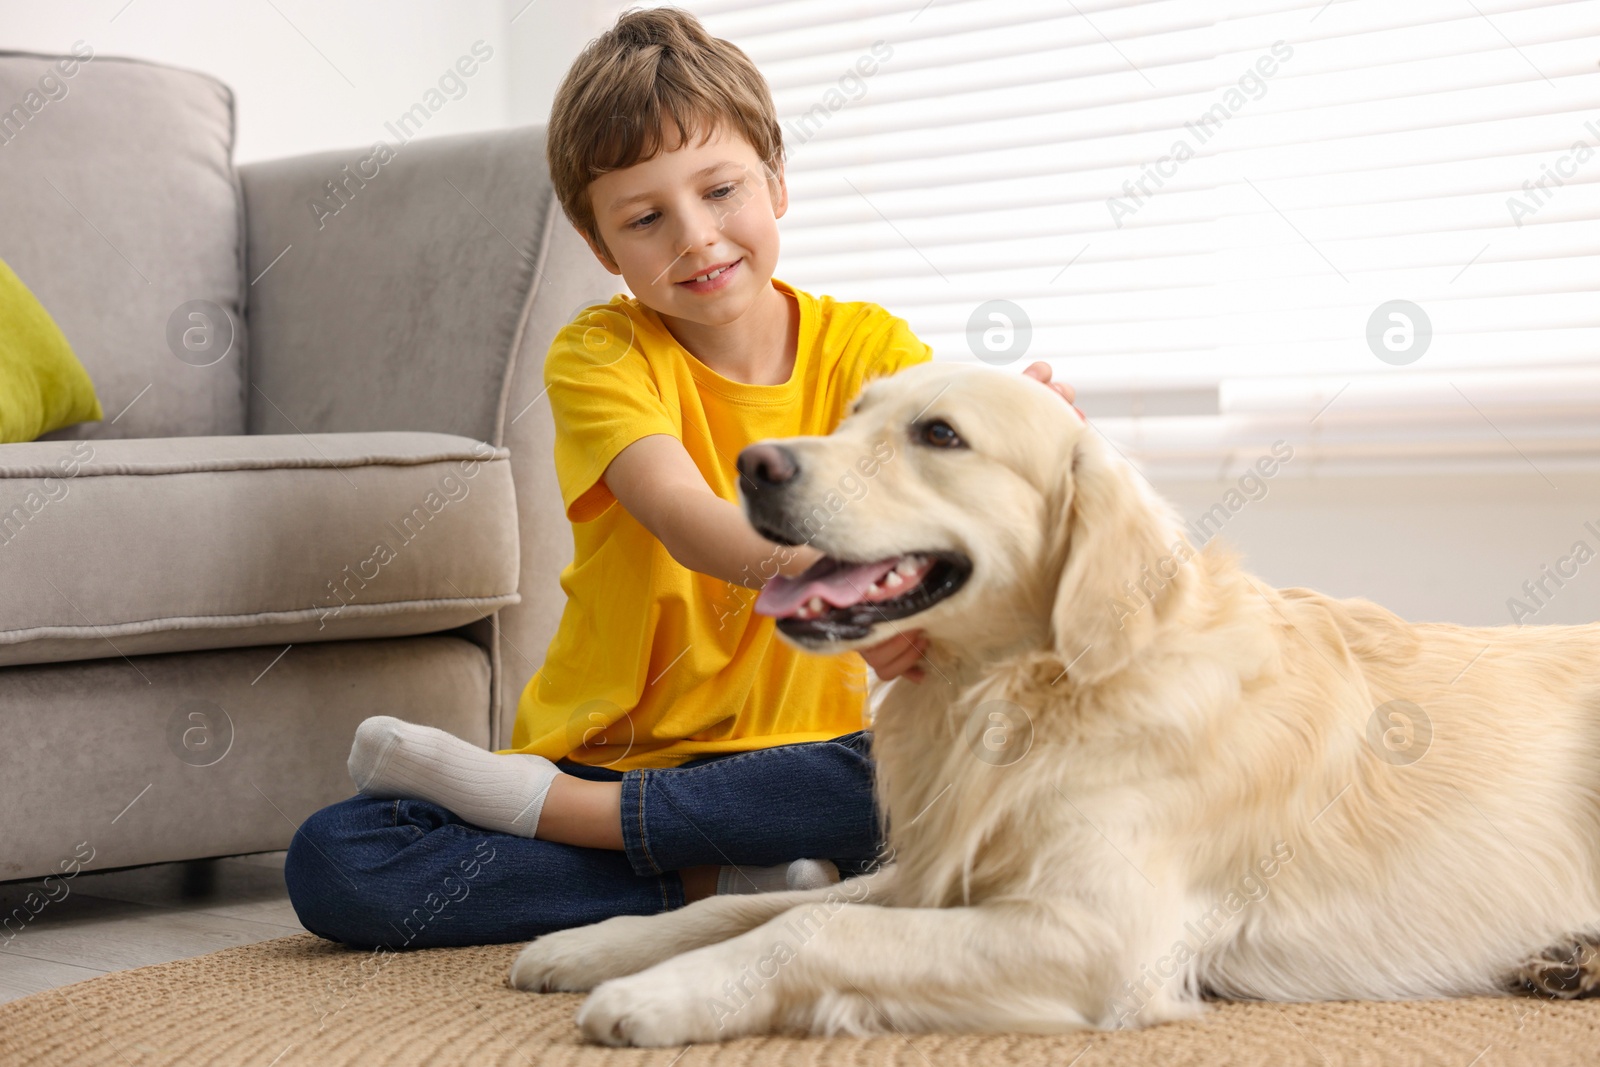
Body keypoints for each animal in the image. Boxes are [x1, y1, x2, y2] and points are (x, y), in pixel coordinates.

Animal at [505, 363, 1600, 1049]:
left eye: (939, 435)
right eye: (853, 413)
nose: (755, 464)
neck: (1035, 687)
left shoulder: (1095, 934)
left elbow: (809, 931)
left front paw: (657, 995)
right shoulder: (938, 875)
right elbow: (750, 902)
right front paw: (591, 946)